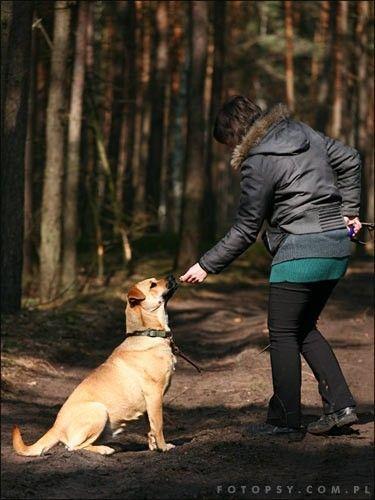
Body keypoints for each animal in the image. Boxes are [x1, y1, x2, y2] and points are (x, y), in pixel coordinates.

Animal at [12, 276, 180, 456]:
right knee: (74, 447)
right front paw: (163, 447)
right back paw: (104, 449)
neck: (148, 333)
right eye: (152, 285)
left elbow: (151, 427)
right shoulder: (154, 395)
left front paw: (154, 446)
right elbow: (159, 424)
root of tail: (55, 427)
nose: (171, 276)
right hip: (98, 411)